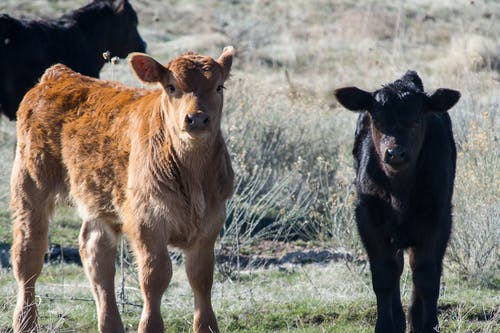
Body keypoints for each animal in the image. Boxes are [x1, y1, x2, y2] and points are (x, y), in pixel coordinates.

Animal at [10, 47, 235, 332]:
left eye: (219, 87)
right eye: (171, 87)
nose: (196, 118)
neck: (192, 175)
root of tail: (58, 75)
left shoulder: (210, 223)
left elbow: (201, 278)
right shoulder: (146, 222)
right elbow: (155, 276)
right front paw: (149, 326)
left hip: (99, 198)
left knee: (96, 253)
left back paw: (110, 324)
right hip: (29, 184)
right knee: (28, 256)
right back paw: (25, 322)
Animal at [334, 70, 458, 332]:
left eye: (417, 120)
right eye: (377, 120)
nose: (395, 153)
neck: (399, 192)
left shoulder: (438, 219)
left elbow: (427, 275)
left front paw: (429, 325)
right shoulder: (368, 219)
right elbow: (384, 274)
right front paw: (385, 325)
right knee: (397, 266)